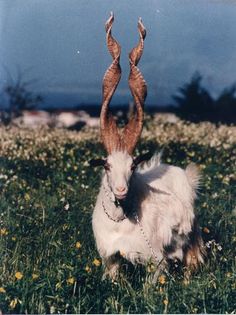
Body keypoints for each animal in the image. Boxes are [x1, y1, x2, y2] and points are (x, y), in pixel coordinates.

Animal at [90, 12, 205, 280]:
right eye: (107, 165)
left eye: (133, 166)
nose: (120, 190)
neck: (121, 222)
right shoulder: (110, 259)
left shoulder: (157, 261)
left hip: (191, 241)